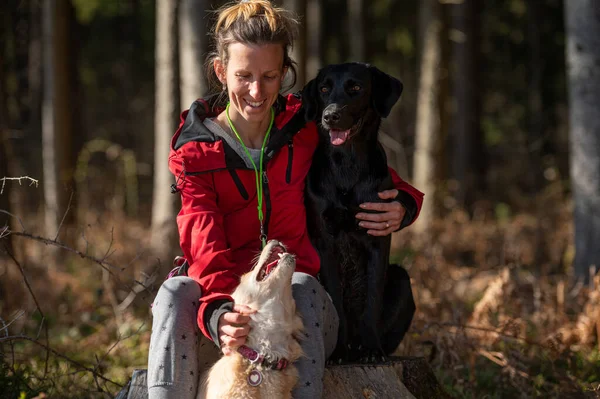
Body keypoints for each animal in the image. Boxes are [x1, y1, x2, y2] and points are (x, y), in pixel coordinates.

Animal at [302, 61, 414, 362]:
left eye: (355, 88)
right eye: (324, 89)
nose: (330, 116)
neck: (347, 163)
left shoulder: (378, 235)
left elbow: (372, 299)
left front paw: (372, 349)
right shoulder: (324, 241)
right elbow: (336, 301)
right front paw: (337, 351)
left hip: (401, 279)